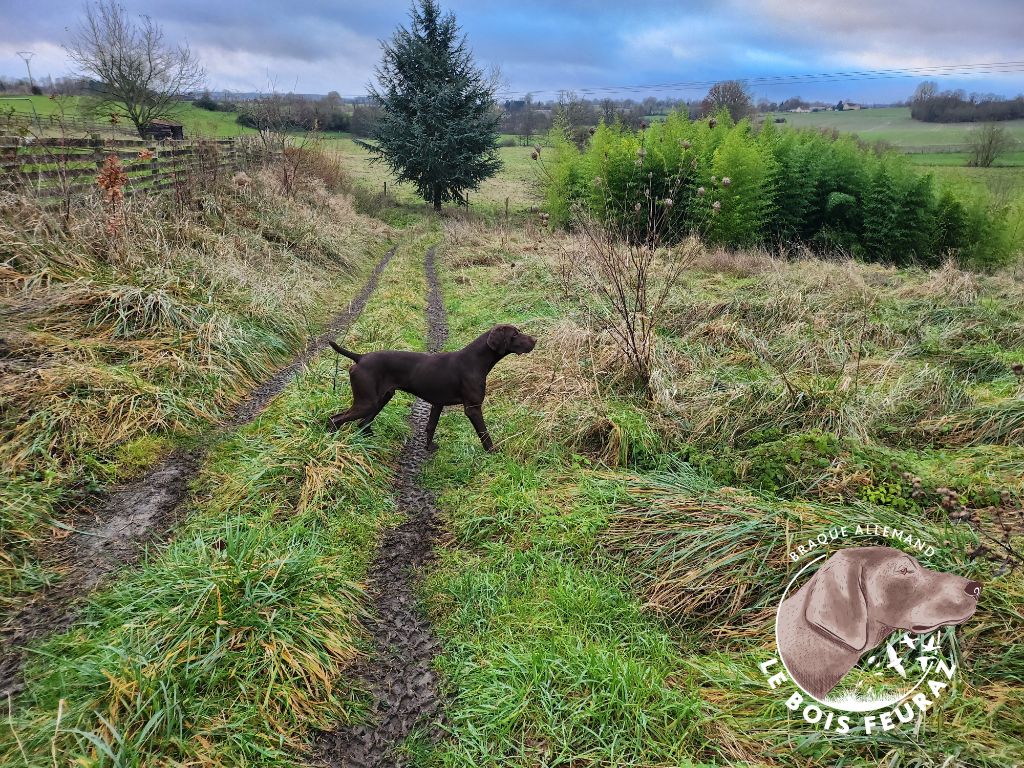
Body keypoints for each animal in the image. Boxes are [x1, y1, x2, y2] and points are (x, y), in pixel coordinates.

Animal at [325, 323, 536, 450]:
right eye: (515, 334)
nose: (535, 340)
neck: (475, 360)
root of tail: (360, 358)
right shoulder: (473, 408)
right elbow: (484, 433)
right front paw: (493, 452)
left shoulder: (437, 403)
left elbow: (430, 427)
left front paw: (428, 448)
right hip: (367, 402)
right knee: (336, 419)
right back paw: (332, 441)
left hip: (382, 398)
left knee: (362, 423)